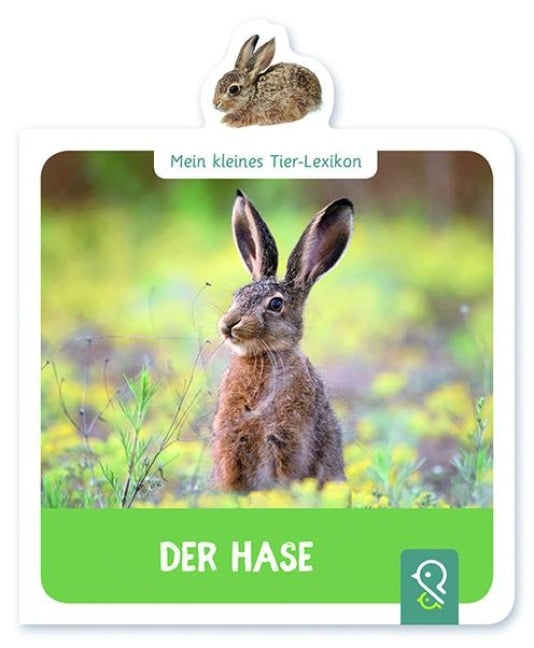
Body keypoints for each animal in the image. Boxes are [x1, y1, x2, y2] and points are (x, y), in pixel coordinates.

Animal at [212, 190, 354, 492]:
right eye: (237, 295)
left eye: (276, 304)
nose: (228, 324)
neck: (263, 357)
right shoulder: (231, 443)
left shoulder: (287, 440)